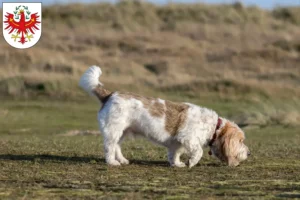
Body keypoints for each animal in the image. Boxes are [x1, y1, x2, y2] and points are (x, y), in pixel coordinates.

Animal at [78, 66, 250, 168]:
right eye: (241, 141)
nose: (249, 153)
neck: (214, 127)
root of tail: (110, 95)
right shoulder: (189, 138)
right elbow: (198, 152)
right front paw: (191, 162)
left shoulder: (177, 143)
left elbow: (175, 154)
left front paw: (177, 164)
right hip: (113, 131)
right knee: (109, 147)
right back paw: (112, 162)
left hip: (122, 132)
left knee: (117, 147)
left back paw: (122, 160)